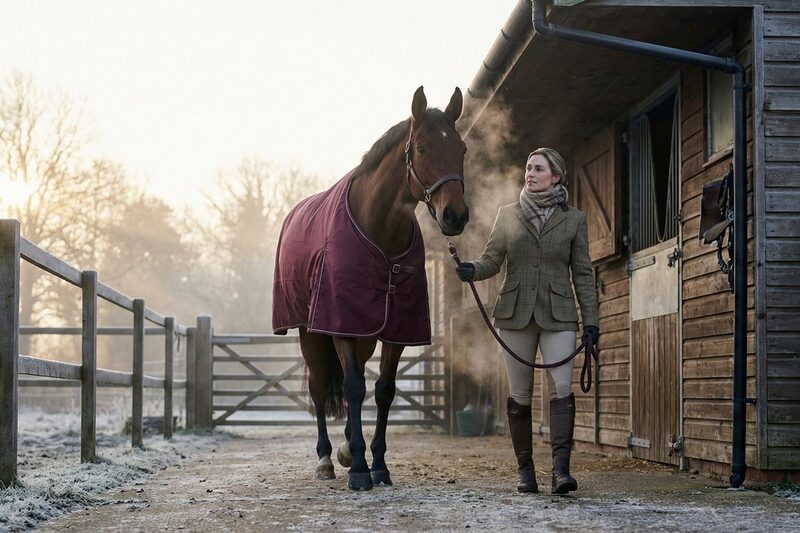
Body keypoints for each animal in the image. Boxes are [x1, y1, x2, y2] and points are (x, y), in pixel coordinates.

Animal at [272, 86, 469, 490]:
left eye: (462, 149)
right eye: (422, 147)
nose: (455, 216)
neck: (379, 230)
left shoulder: (396, 329)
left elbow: (382, 392)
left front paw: (376, 464)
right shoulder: (342, 324)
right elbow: (352, 388)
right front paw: (360, 470)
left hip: (363, 333)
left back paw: (347, 448)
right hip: (310, 332)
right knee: (320, 387)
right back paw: (326, 459)